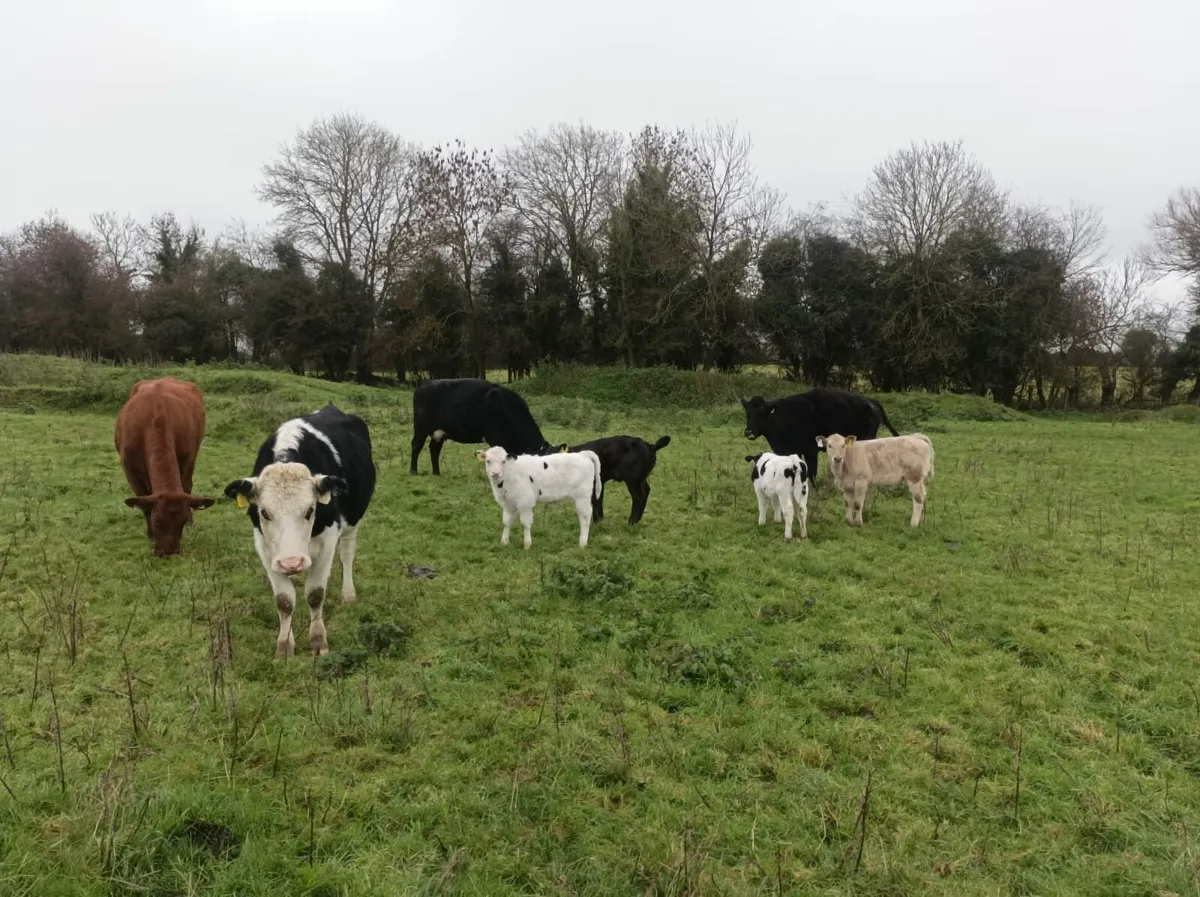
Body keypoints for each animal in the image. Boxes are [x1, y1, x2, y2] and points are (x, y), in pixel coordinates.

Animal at [114, 376, 215, 557]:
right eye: (157, 521)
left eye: (181, 522)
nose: (168, 552)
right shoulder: (130, 469)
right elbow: (144, 504)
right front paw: (150, 534)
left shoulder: (185, 459)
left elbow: (184, 487)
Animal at [224, 404, 376, 658]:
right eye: (264, 512)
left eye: (310, 510)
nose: (291, 562)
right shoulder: (264, 547)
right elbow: (284, 600)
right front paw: (284, 647)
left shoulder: (328, 538)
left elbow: (315, 594)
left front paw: (318, 643)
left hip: (352, 523)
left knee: (347, 554)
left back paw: (348, 594)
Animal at [410, 378, 565, 476]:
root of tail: (423, 385)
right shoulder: (495, 438)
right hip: (421, 427)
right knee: (416, 445)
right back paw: (413, 471)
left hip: (439, 432)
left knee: (434, 449)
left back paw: (436, 473)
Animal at [741, 387, 899, 484]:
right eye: (748, 413)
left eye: (762, 413)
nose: (749, 432)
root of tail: (871, 401)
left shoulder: (811, 452)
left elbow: (811, 474)